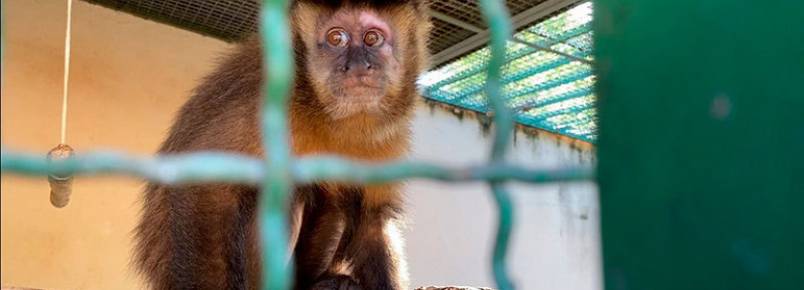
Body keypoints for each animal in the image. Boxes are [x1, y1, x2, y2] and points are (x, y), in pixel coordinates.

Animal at [135, 0, 430, 290]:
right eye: (336, 38)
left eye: (372, 38)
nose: (357, 66)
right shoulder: (263, 100)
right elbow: (205, 187)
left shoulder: (390, 135)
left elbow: (372, 221)